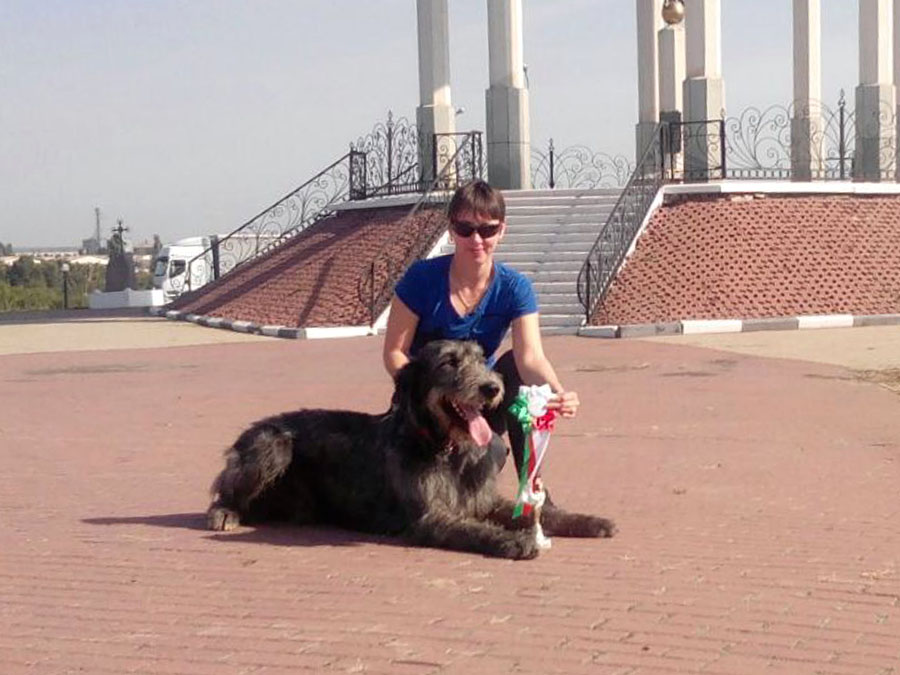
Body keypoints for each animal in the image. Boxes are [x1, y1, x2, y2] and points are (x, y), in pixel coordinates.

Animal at [207, 340, 616, 556]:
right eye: (449, 362)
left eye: (479, 358)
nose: (492, 388)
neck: (445, 447)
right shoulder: (429, 517)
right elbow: (472, 529)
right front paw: (512, 540)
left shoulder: (484, 501)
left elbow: (537, 512)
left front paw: (587, 520)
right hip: (271, 445)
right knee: (224, 491)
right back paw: (224, 512)